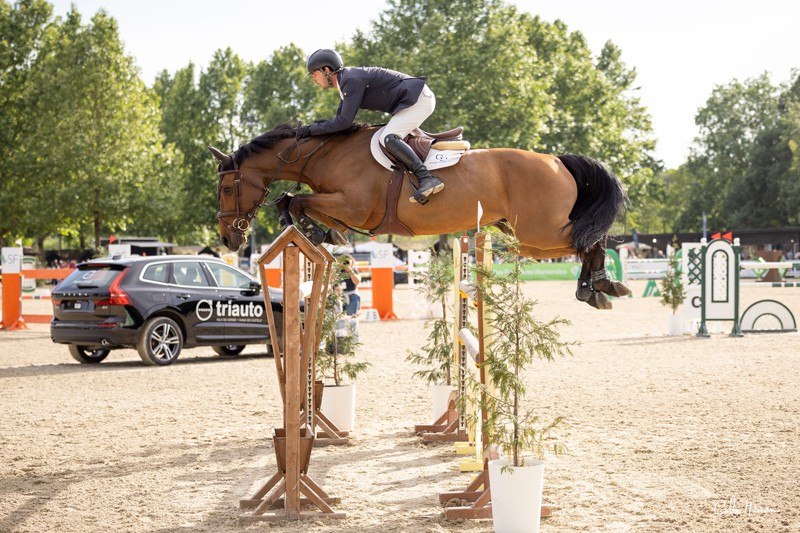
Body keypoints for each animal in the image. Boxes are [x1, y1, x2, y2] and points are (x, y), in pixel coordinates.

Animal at [211, 123, 632, 308]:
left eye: (227, 189)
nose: (229, 238)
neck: (327, 154)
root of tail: (557, 160)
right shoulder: (344, 208)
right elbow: (293, 201)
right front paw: (323, 234)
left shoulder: (354, 206)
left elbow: (296, 202)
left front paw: (313, 232)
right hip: (525, 236)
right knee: (587, 240)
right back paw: (593, 287)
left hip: (537, 233)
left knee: (590, 238)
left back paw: (601, 285)